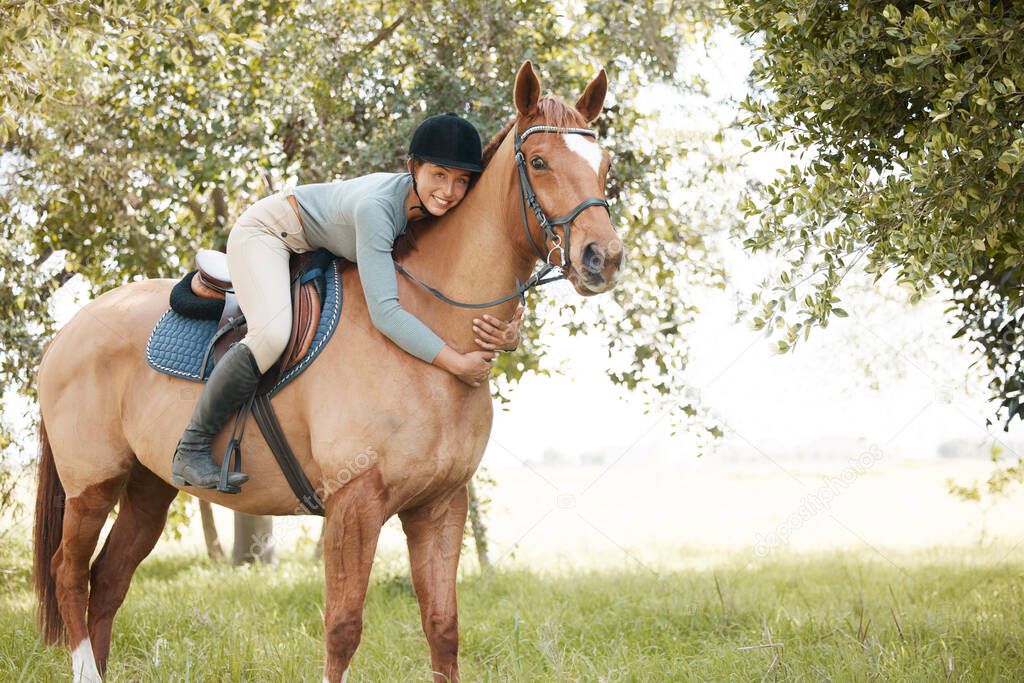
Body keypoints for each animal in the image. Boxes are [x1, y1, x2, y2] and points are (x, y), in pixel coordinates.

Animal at [34, 61, 622, 679]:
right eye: (539, 162)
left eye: (605, 165)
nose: (603, 258)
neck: (429, 332)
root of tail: (68, 331)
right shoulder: (354, 504)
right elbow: (342, 628)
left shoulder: (441, 506)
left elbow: (442, 627)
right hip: (92, 486)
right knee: (70, 574)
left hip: (149, 487)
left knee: (109, 579)